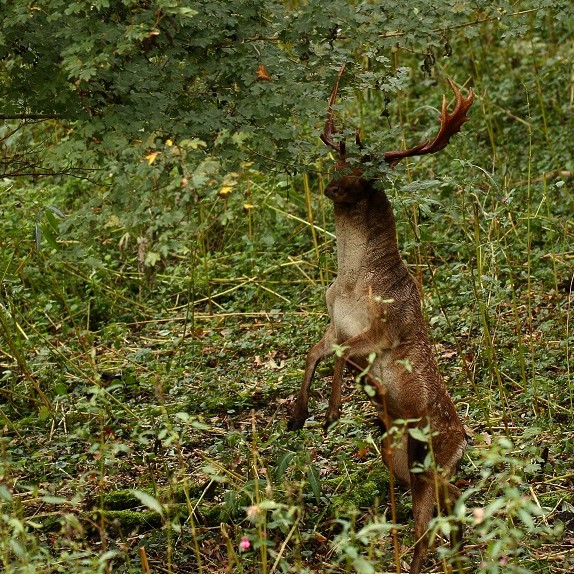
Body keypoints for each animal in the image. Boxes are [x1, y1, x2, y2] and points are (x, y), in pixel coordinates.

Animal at [290, 65, 474, 572]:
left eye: (369, 174)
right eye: (339, 162)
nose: (331, 186)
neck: (352, 282)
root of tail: (464, 439)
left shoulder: (387, 329)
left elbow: (339, 354)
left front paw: (331, 412)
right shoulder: (333, 318)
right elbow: (314, 351)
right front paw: (297, 415)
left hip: (432, 461)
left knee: (428, 525)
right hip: (399, 457)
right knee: (450, 503)